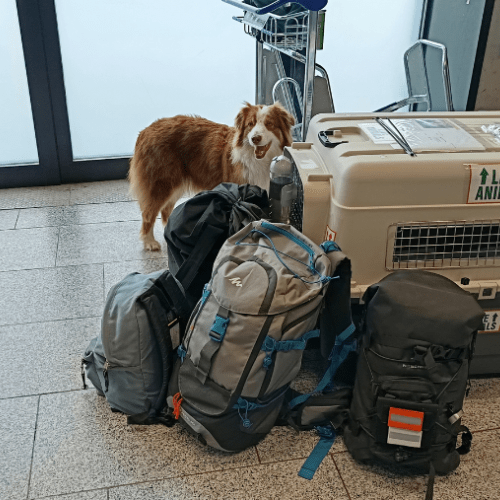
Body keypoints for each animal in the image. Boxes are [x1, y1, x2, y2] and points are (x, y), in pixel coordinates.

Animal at [127, 101, 294, 250]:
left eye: (269, 124)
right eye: (250, 124)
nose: (255, 138)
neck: (258, 160)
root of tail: (145, 131)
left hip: (176, 184)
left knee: (166, 209)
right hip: (161, 183)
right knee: (148, 213)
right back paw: (149, 242)